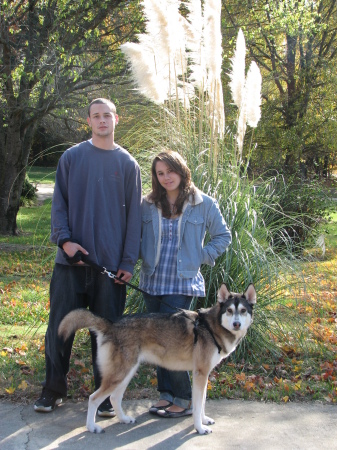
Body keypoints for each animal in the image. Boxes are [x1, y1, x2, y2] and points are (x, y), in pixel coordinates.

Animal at [59, 284, 256, 434]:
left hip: (126, 374)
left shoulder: (204, 375)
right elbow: (197, 405)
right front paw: (199, 428)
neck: (209, 326)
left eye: (243, 311)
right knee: (93, 398)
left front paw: (204, 420)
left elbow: (202, 403)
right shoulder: (200, 374)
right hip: (119, 375)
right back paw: (92, 427)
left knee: (114, 398)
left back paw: (123, 419)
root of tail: (112, 324)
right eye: (229, 310)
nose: (236, 324)